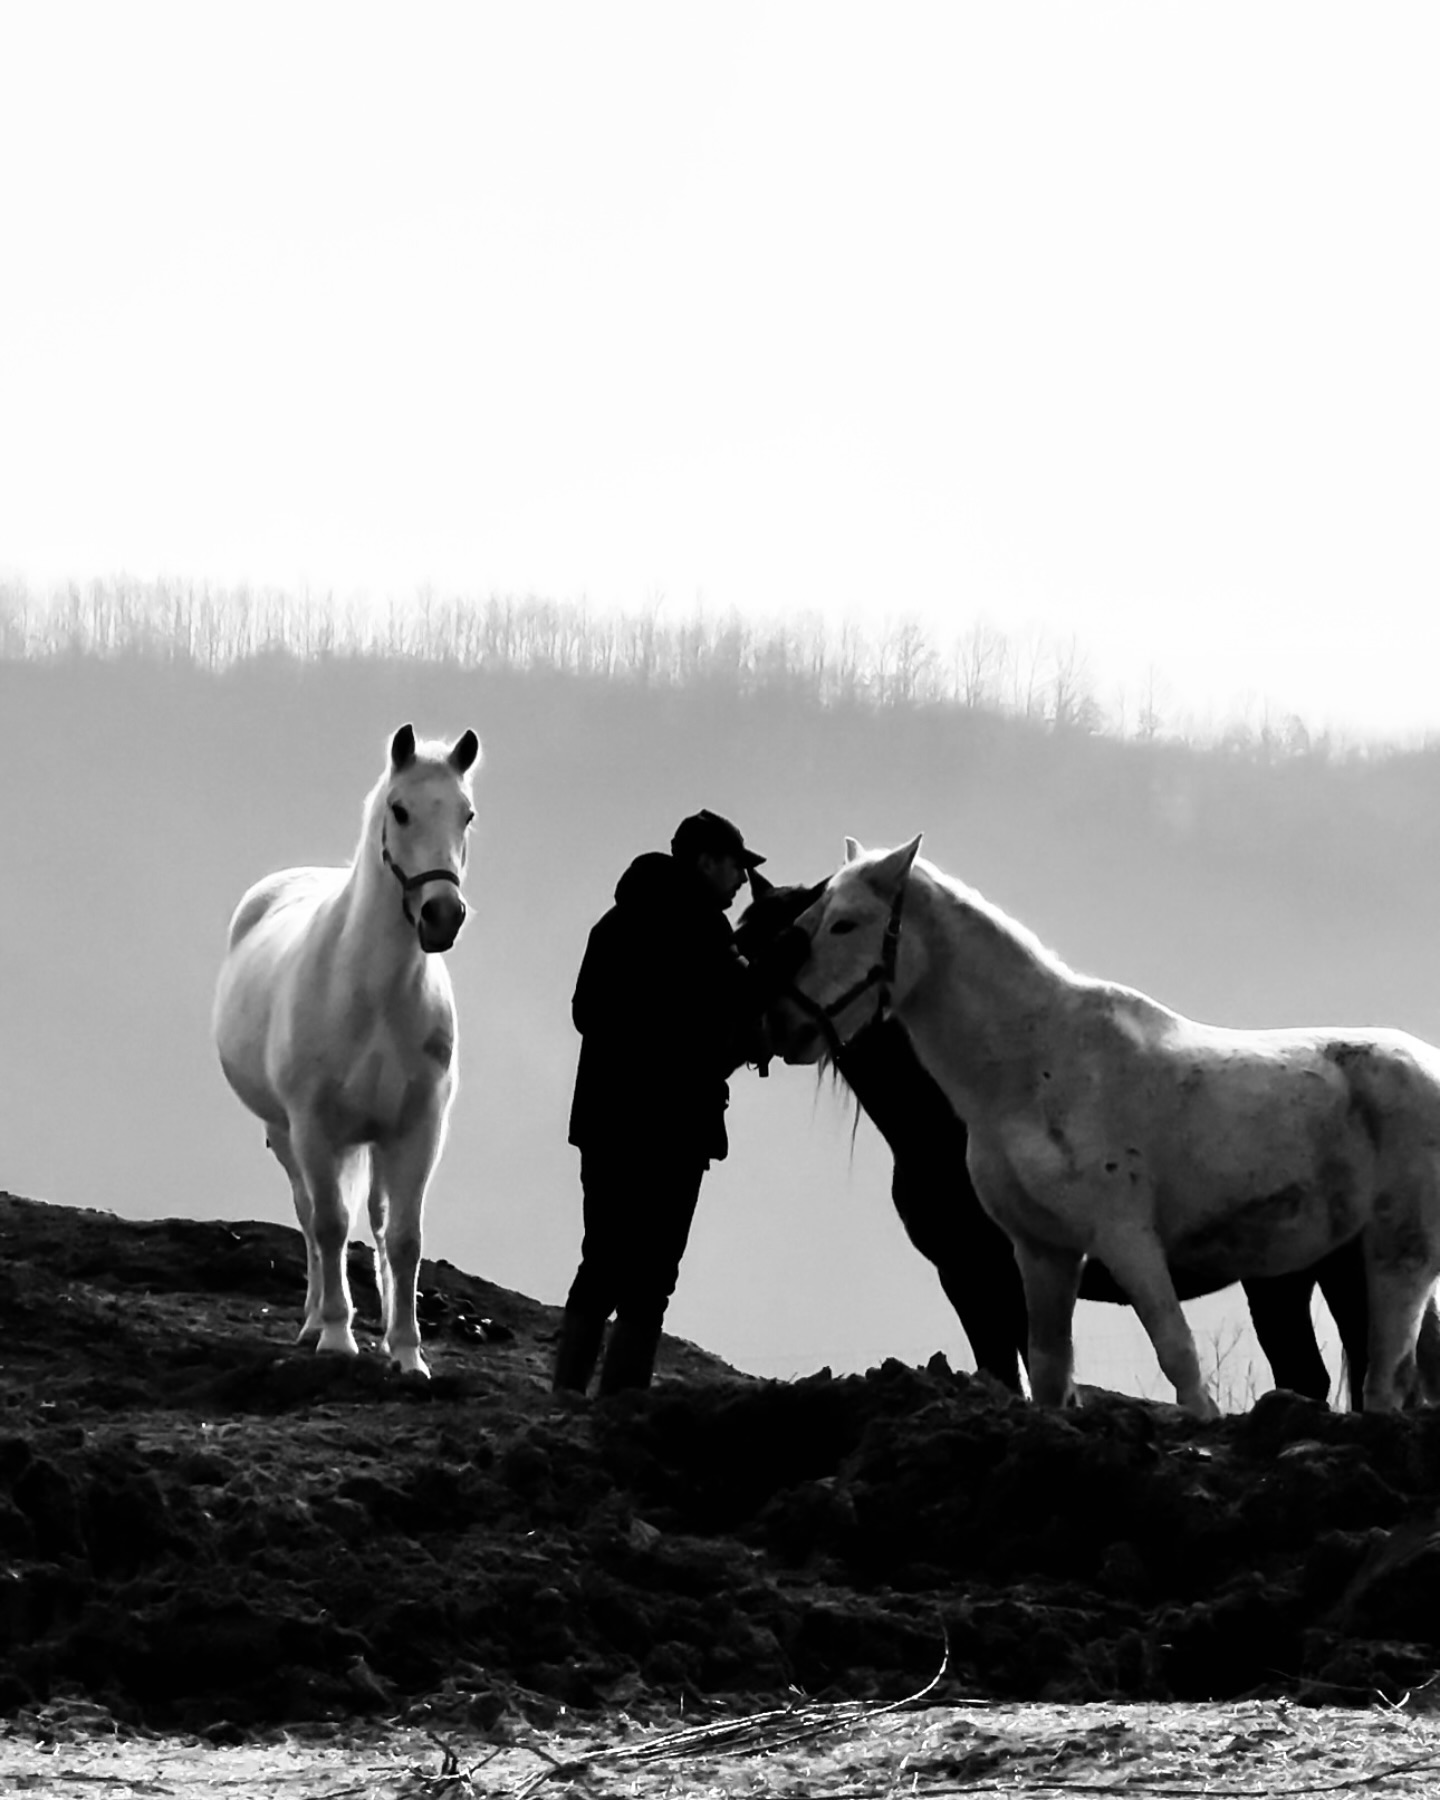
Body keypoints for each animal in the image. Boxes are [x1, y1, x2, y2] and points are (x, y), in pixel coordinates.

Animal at [212, 723, 480, 1376]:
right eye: (399, 810)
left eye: (466, 814)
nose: (443, 915)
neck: (373, 996)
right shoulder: (315, 1128)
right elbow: (331, 1224)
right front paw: (337, 1336)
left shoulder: (416, 1130)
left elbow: (404, 1238)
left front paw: (408, 1352)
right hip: (286, 1135)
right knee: (309, 1219)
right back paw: (313, 1322)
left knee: (377, 1225)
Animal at [769, 837, 1440, 1418]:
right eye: (803, 925)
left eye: (846, 924)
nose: (787, 1028)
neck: (1035, 1068)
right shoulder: (1041, 1252)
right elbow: (1048, 1371)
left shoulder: (1125, 1240)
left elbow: (1179, 1358)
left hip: (1397, 1259)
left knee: (1387, 1383)